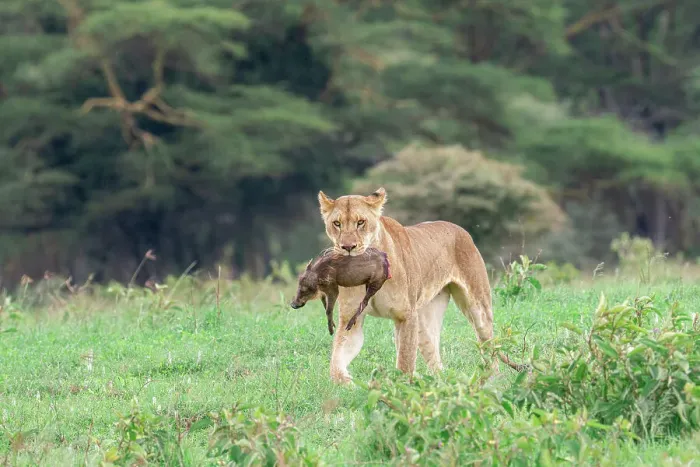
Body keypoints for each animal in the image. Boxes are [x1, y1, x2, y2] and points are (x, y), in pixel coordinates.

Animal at [317, 187, 523, 383]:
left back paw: (491, 382)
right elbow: (336, 361)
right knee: (436, 361)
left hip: (477, 308)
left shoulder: (406, 316)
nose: (347, 247)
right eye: (337, 224)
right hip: (426, 321)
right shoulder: (351, 319)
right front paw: (346, 382)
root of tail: (459, 228)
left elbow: (405, 362)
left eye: (361, 222)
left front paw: (400, 389)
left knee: (489, 347)